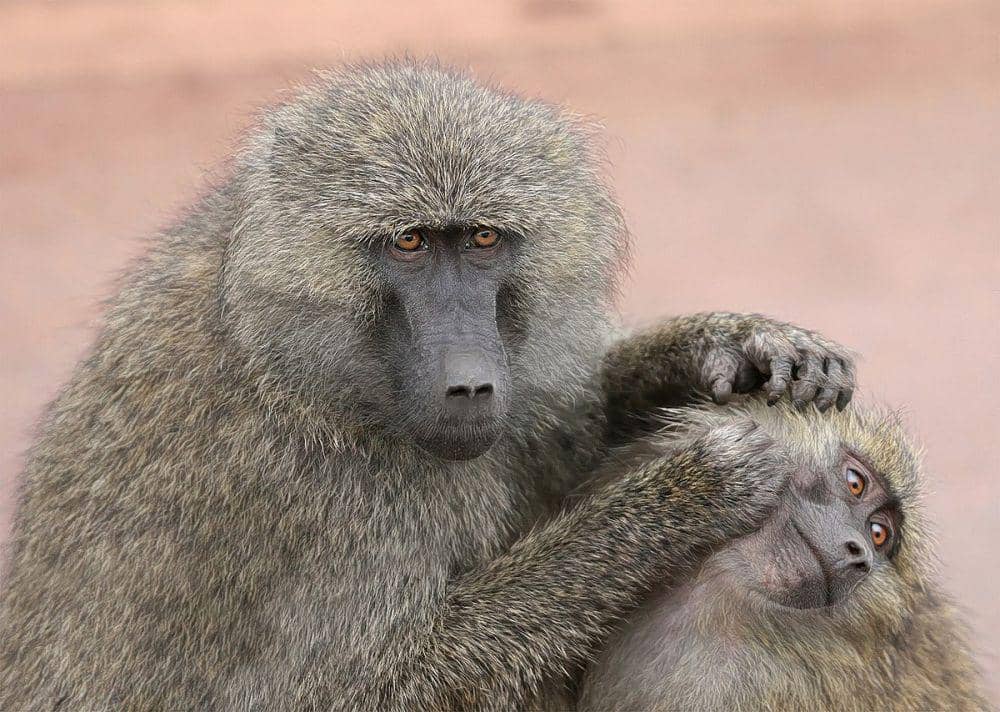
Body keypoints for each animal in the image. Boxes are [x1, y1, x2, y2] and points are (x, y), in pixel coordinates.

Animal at [0, 61, 856, 711]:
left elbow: (561, 425)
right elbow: (357, 692)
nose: (470, 384)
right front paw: (681, 496)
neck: (279, 351)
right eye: (409, 244)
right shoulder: (316, 492)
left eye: (481, 239)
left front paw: (729, 346)